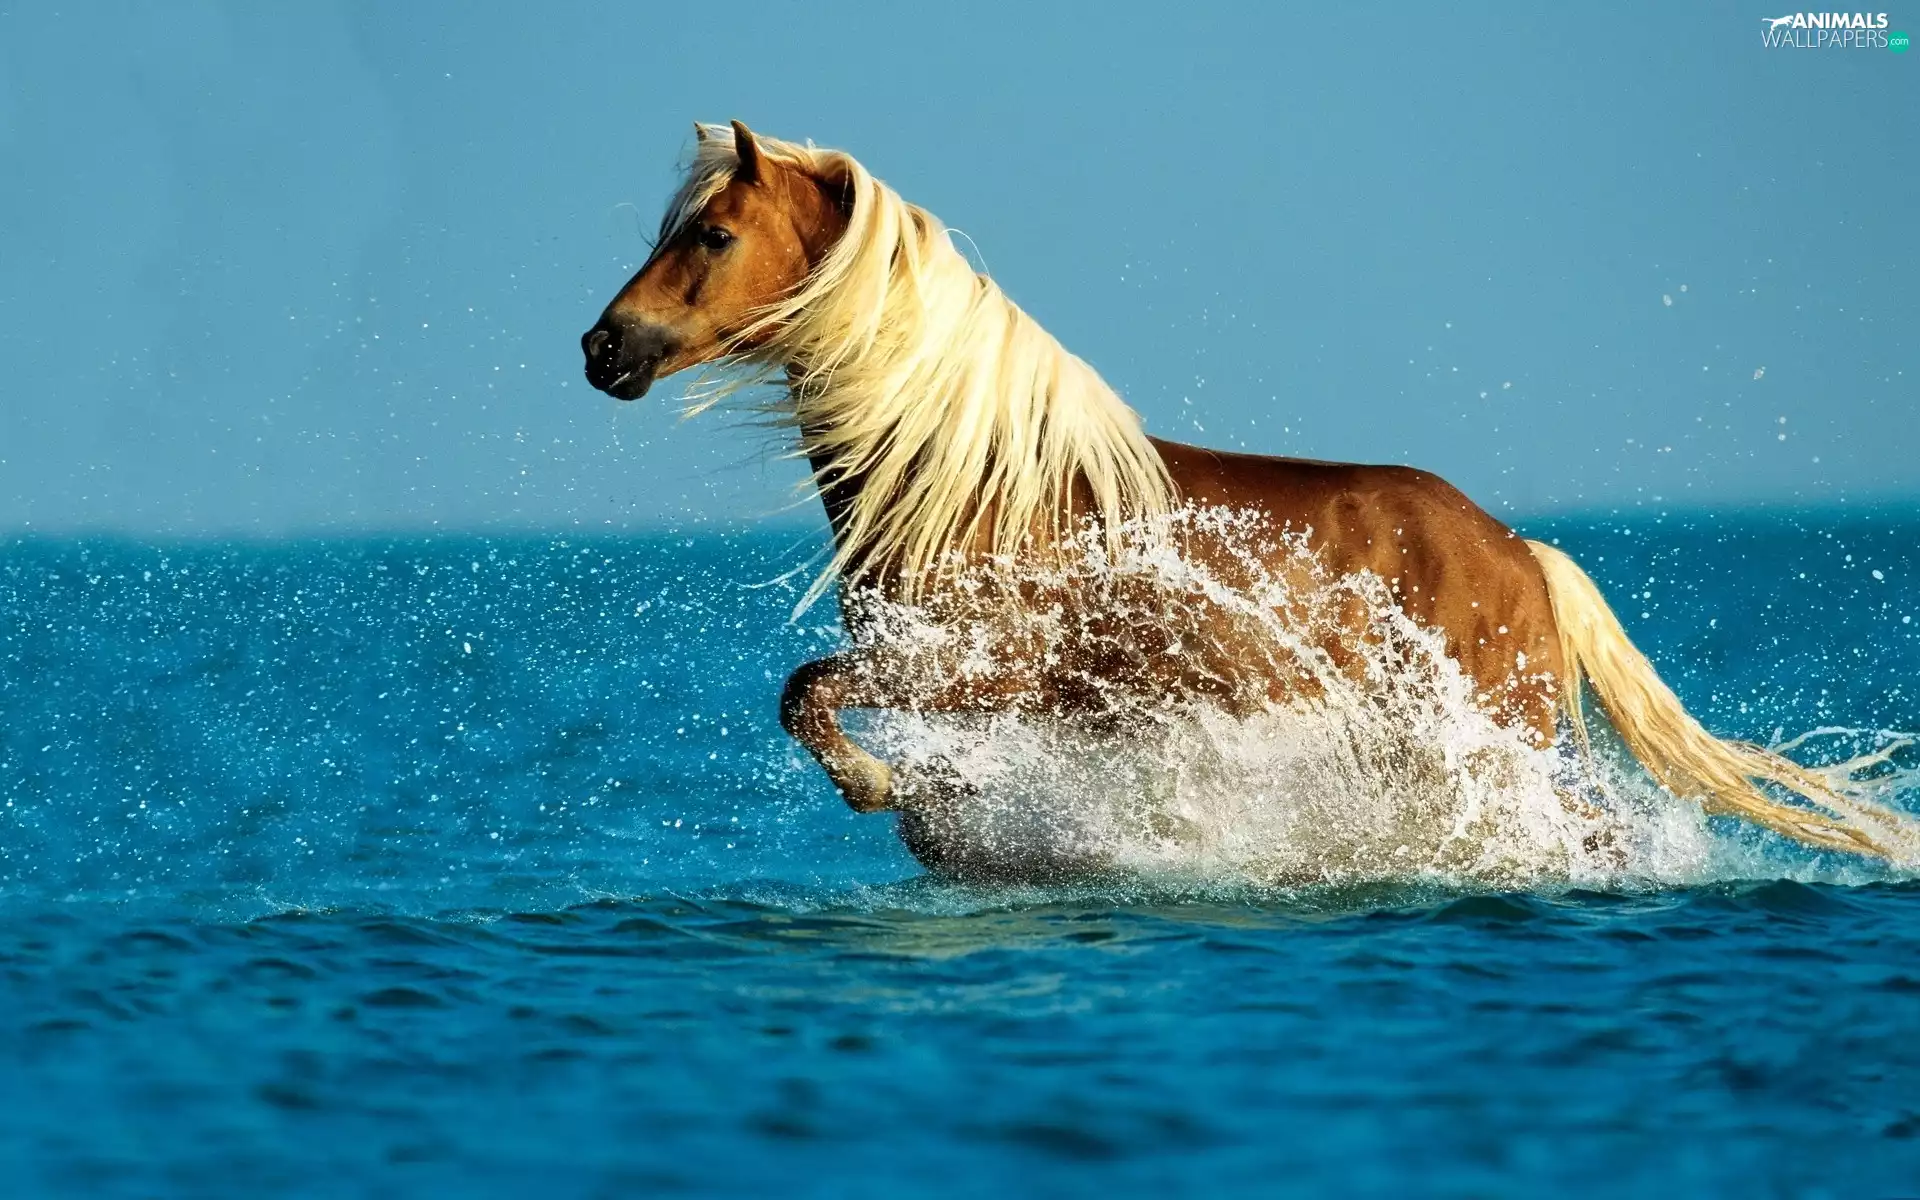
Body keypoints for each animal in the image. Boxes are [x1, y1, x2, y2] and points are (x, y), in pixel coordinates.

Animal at [581, 120, 1915, 870]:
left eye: (710, 235)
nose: (604, 349)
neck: (978, 484)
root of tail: (1522, 552)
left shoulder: (975, 669)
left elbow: (806, 695)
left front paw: (876, 787)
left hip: (1497, 743)